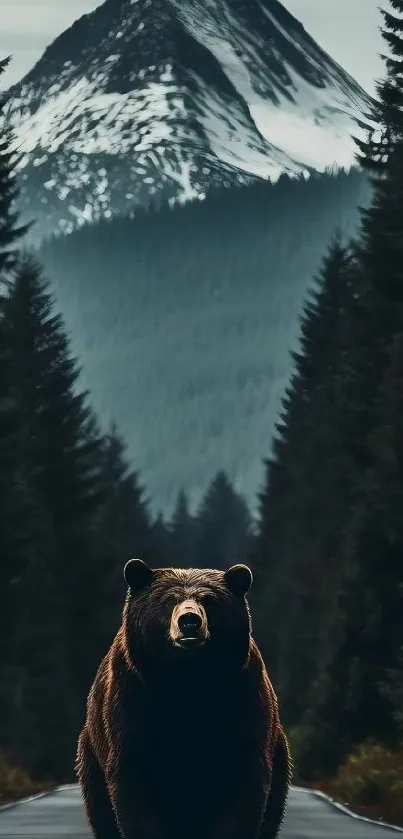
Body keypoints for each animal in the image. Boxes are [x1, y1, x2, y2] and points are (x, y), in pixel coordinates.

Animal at [76, 560, 292, 839]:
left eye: (208, 599)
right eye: (168, 600)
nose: (189, 620)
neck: (185, 680)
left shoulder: (242, 694)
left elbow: (245, 785)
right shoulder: (132, 698)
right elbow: (133, 785)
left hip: (280, 753)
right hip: (91, 752)